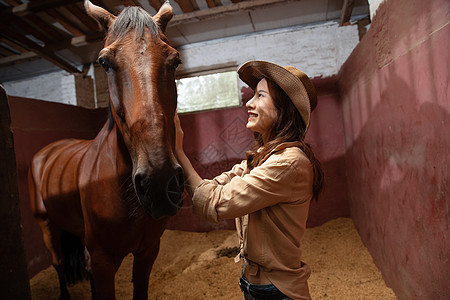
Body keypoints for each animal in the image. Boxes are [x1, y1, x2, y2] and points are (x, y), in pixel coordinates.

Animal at [28, 1, 184, 298]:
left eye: (175, 60)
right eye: (104, 62)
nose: (159, 182)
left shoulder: (148, 251)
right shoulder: (103, 261)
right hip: (45, 225)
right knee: (58, 263)